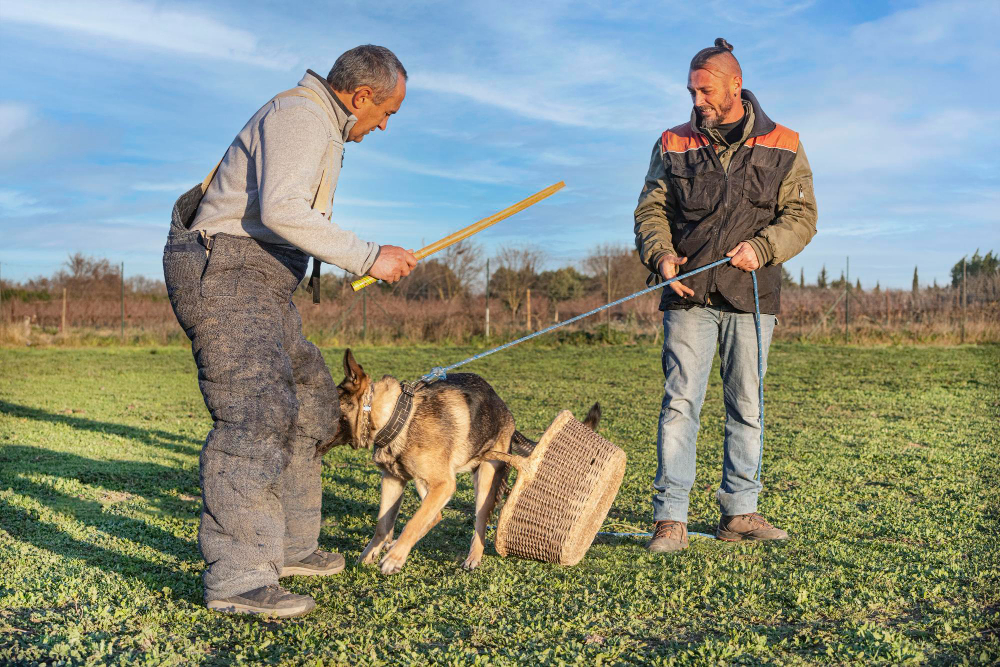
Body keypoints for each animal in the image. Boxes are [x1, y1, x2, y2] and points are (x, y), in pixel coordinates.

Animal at [332, 350, 596, 576]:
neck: (399, 416)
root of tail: (507, 412)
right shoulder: (393, 480)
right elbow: (383, 524)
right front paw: (371, 553)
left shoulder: (443, 484)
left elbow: (413, 523)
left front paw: (394, 559)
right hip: (424, 481)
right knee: (436, 516)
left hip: (483, 481)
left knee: (478, 523)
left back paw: (473, 558)